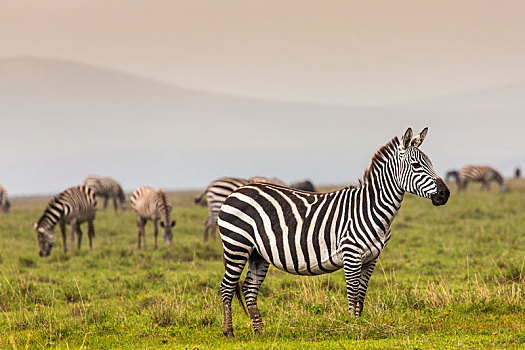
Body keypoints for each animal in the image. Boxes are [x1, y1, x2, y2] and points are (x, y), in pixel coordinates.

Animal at [217, 127, 450, 338]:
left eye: (430, 163)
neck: (370, 207)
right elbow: (353, 292)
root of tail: (237, 191)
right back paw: (228, 332)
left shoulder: (371, 258)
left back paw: (260, 332)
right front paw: (353, 329)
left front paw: (360, 325)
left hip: (258, 253)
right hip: (236, 245)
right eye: (416, 165)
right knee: (227, 286)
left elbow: (362, 294)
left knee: (249, 288)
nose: (445, 194)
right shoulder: (351, 254)